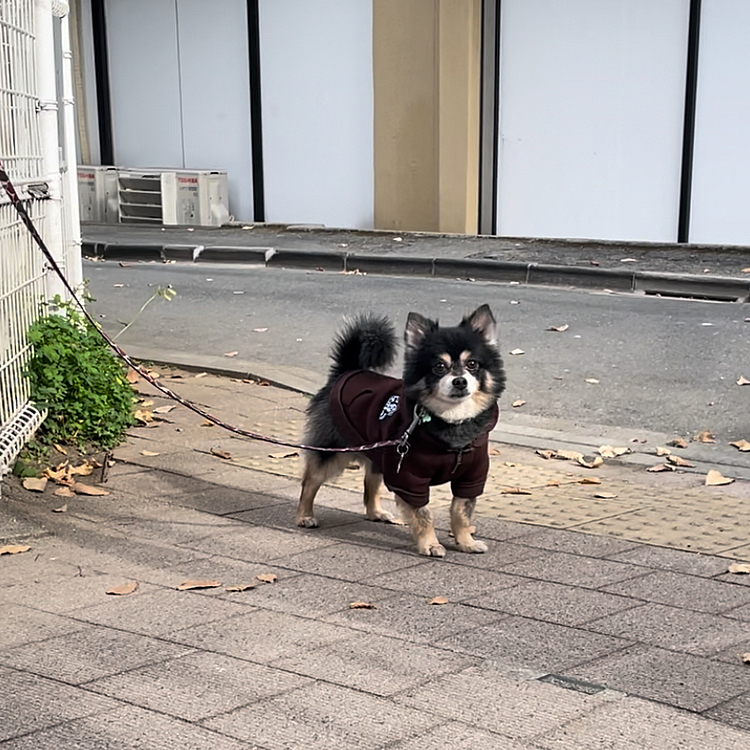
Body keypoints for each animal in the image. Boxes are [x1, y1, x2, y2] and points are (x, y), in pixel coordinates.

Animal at [296, 306, 508, 560]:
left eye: (473, 364)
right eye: (439, 367)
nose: (459, 381)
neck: (452, 423)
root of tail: (346, 371)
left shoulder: (470, 477)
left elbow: (461, 513)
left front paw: (466, 542)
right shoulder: (410, 479)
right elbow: (424, 515)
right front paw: (430, 544)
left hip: (382, 452)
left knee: (371, 481)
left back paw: (375, 512)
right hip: (332, 451)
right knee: (310, 482)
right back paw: (304, 516)